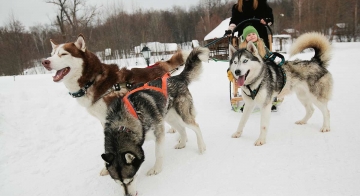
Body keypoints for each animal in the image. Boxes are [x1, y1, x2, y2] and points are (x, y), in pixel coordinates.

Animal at [100, 46, 208, 195]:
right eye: (118, 183)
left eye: (130, 180)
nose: (128, 195)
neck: (123, 125)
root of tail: (177, 77)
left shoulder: (159, 132)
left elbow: (158, 153)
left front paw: (156, 169)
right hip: (168, 117)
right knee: (182, 129)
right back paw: (182, 143)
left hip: (182, 116)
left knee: (196, 126)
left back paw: (201, 146)